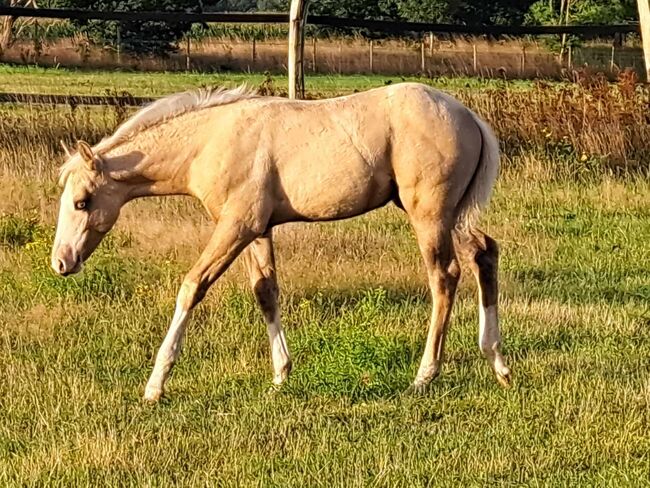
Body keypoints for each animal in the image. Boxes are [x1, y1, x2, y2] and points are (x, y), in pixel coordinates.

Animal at [50, 84, 508, 400]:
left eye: (82, 201)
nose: (61, 262)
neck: (211, 141)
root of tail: (469, 117)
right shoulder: (258, 231)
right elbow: (266, 292)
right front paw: (280, 375)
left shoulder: (236, 227)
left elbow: (191, 287)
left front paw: (154, 385)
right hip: (451, 217)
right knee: (484, 253)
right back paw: (497, 362)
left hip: (428, 216)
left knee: (444, 276)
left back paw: (425, 375)